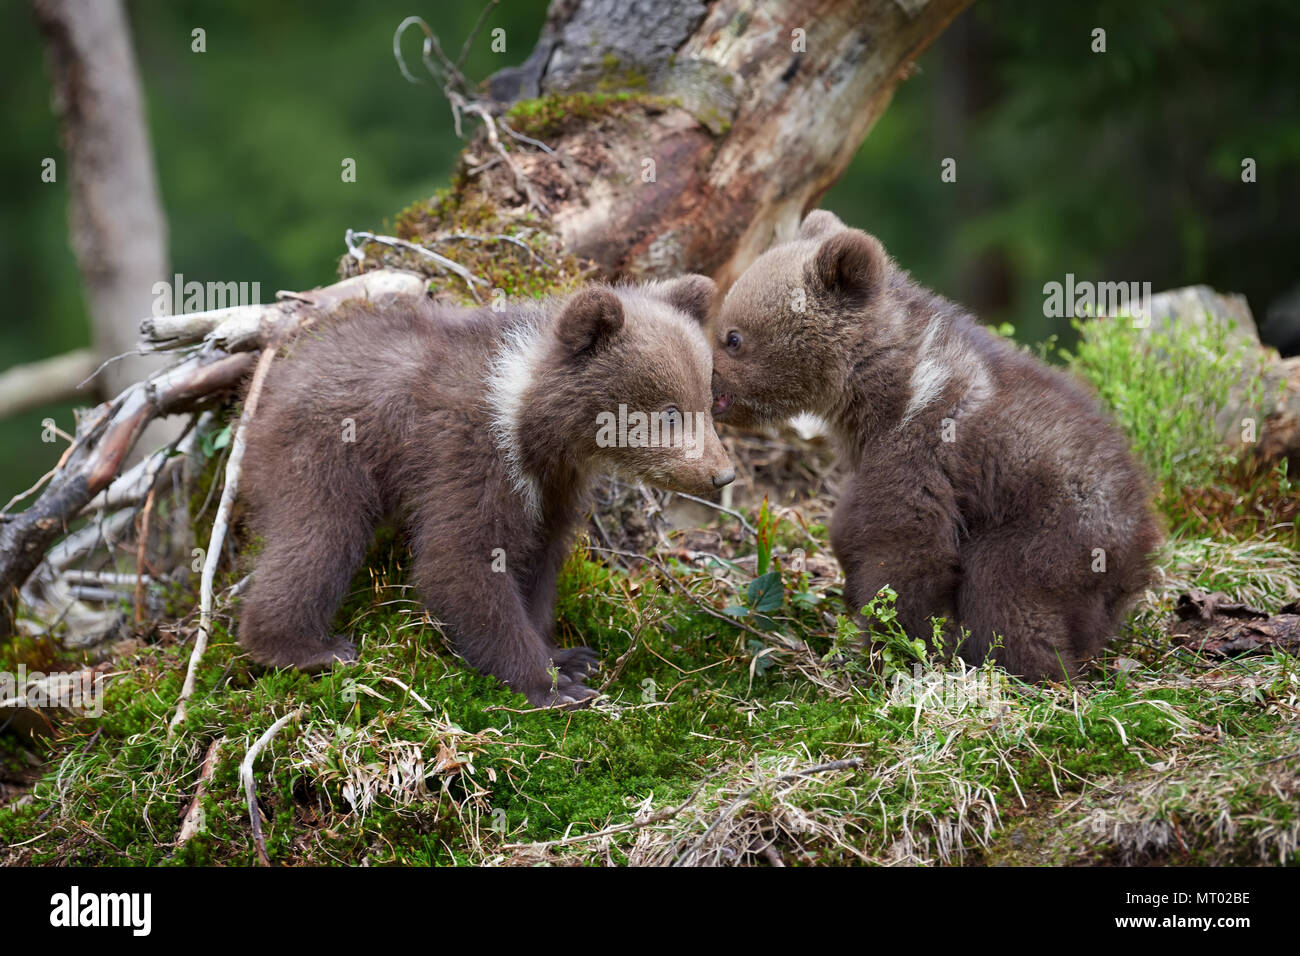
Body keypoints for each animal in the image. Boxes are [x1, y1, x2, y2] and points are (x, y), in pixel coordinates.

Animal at [237, 278, 734, 707]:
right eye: (670, 412)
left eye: (706, 403)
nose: (722, 475)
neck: (527, 420)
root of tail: (269, 388)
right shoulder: (472, 454)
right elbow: (462, 560)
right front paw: (552, 686)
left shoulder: (552, 484)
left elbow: (538, 560)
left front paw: (569, 657)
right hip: (325, 454)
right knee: (320, 539)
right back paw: (304, 648)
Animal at [709, 210, 1162, 681]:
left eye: (733, 337)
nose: (707, 382)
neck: (885, 387)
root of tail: (1139, 548)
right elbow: (855, 526)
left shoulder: (921, 447)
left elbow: (905, 547)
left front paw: (894, 647)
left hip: (1054, 530)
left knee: (1004, 593)